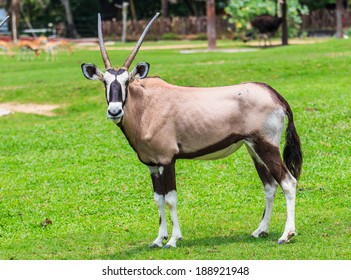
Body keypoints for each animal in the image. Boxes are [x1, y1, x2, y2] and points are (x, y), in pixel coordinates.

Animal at [81, 13, 302, 249]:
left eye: (126, 82)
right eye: (105, 82)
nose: (114, 111)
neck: (146, 105)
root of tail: (274, 95)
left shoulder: (167, 160)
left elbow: (170, 199)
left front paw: (173, 239)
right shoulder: (152, 165)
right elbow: (158, 199)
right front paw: (158, 239)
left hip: (266, 146)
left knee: (288, 182)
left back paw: (286, 234)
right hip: (254, 149)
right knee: (270, 185)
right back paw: (260, 230)